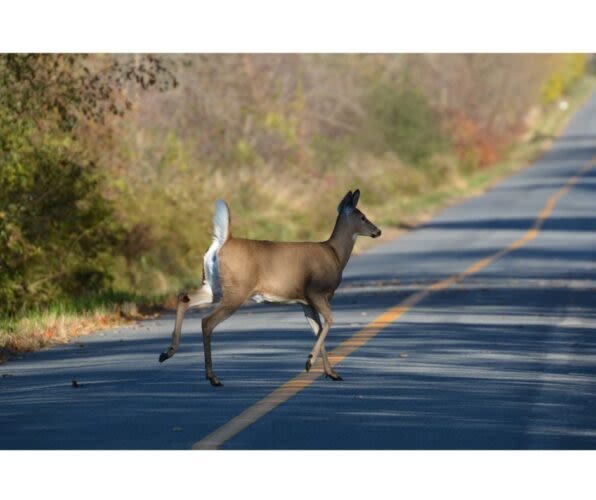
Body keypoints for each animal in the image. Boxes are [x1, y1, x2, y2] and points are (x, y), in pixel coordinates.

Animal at [158, 188, 382, 386]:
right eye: (362, 216)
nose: (378, 231)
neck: (335, 254)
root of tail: (223, 241)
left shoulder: (305, 302)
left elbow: (318, 329)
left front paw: (331, 373)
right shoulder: (316, 291)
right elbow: (329, 321)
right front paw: (309, 362)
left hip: (213, 287)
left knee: (184, 298)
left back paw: (167, 352)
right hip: (236, 291)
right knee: (207, 321)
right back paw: (213, 378)